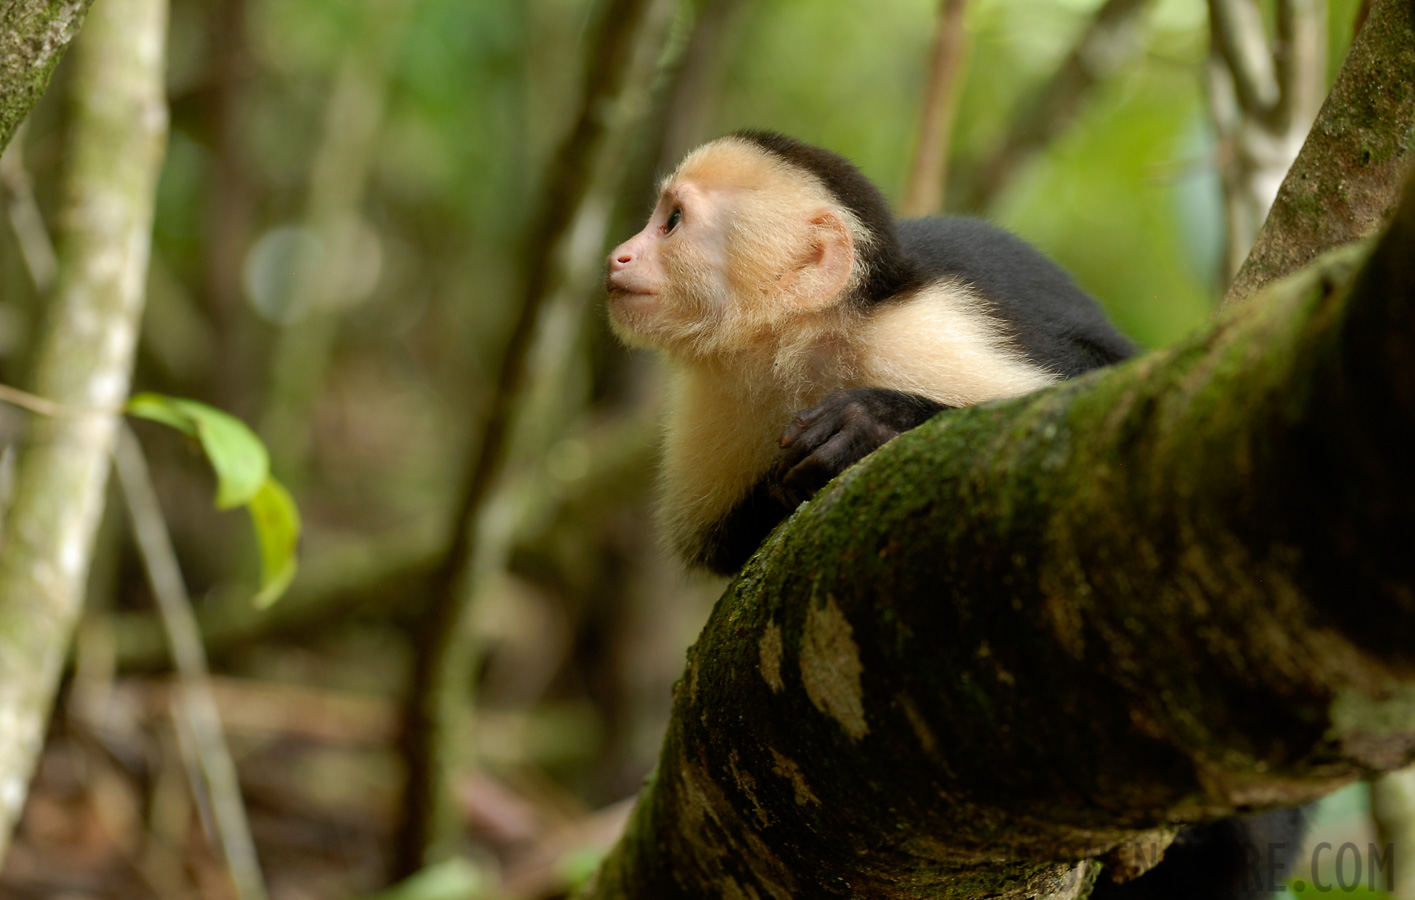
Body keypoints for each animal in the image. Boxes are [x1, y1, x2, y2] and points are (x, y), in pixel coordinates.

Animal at [602, 130, 1132, 571]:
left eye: (671, 222)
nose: (616, 256)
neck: (803, 341)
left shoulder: (914, 329)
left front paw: (869, 422)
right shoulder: (719, 392)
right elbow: (716, 542)